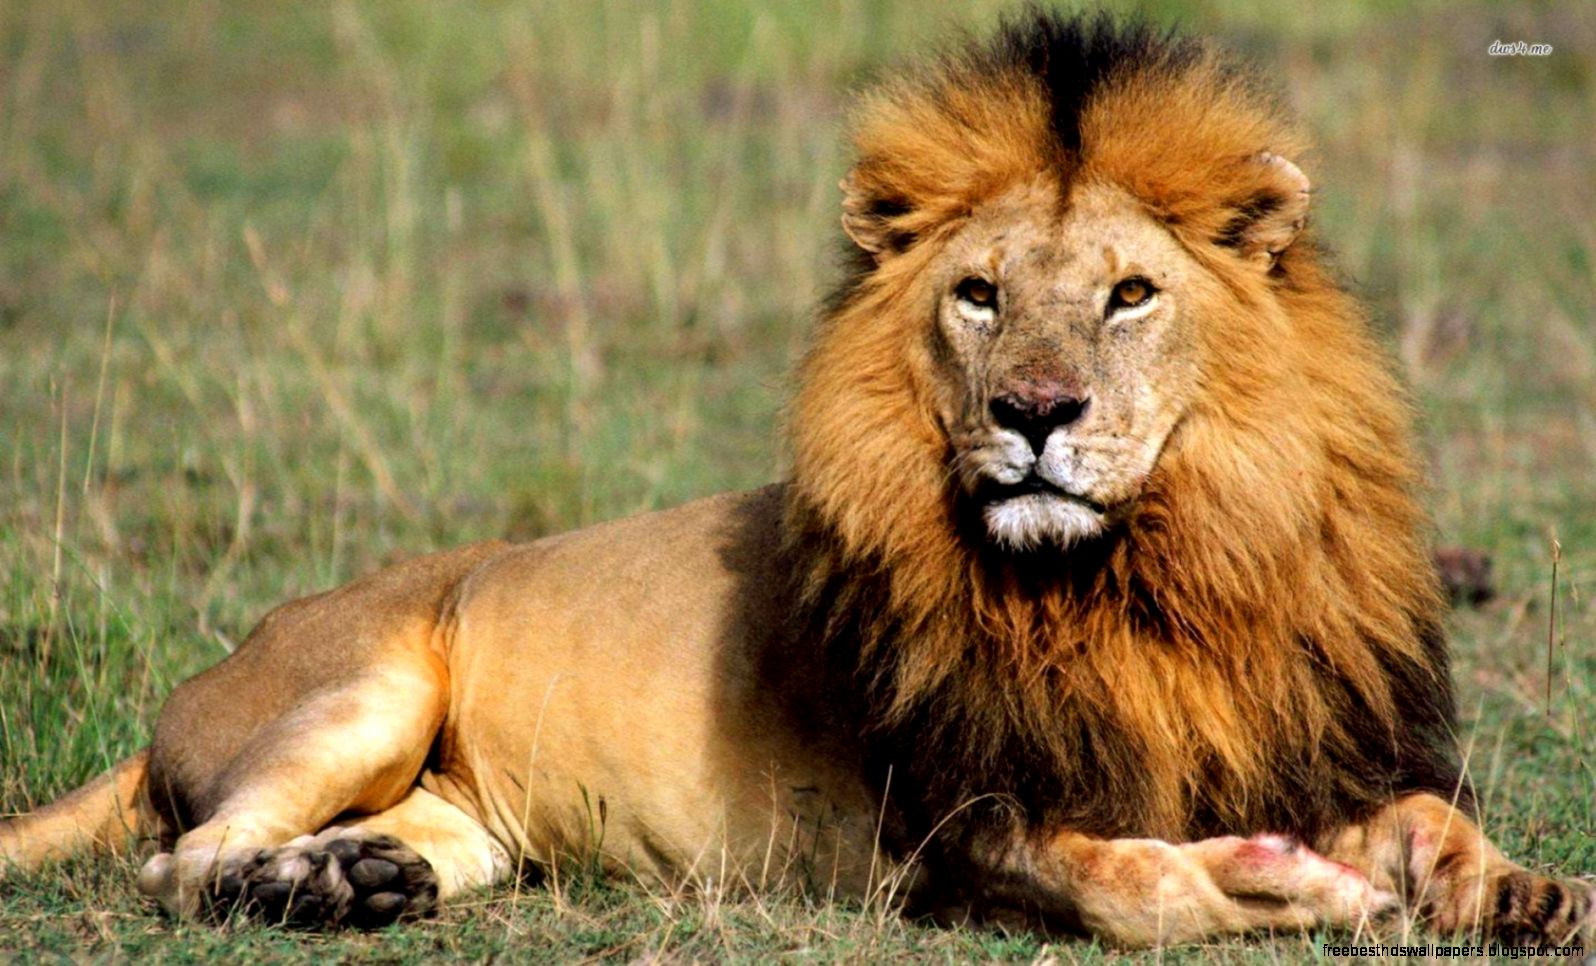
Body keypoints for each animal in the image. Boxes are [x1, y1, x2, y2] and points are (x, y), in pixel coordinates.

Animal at [2, 12, 1591, 948]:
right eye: (977, 295)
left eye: (1131, 293)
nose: (1034, 411)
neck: (1148, 578)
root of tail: (202, 678)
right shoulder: (961, 828)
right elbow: (1143, 885)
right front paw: (1292, 886)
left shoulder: (1307, 736)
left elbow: (1436, 821)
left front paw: (1523, 889)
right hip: (366, 686)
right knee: (176, 859)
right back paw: (299, 887)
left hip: (464, 821)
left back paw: (354, 880)